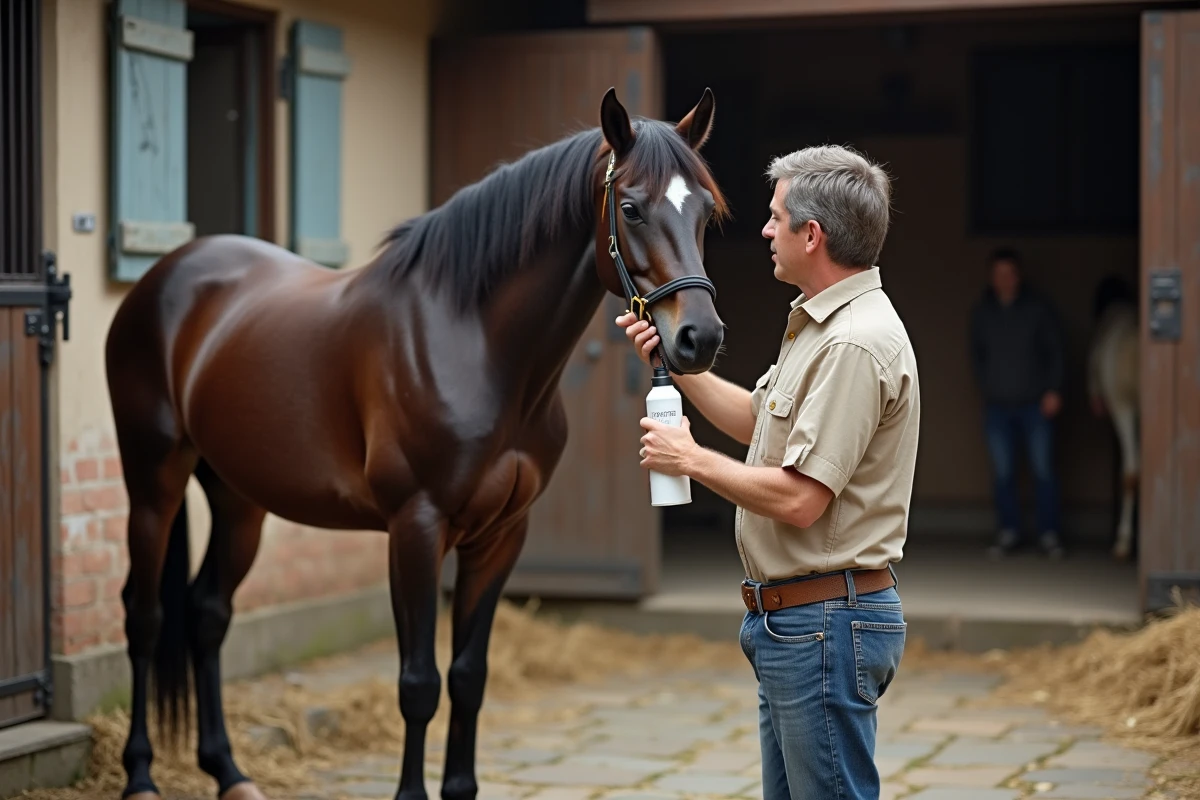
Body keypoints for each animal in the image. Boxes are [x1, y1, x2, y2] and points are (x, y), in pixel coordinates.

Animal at [103, 87, 727, 800]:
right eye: (630, 207)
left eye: (705, 211)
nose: (700, 339)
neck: (473, 342)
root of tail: (169, 275)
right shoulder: (415, 527)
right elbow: (419, 682)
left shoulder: (501, 535)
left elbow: (468, 675)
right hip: (153, 482)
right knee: (145, 616)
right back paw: (141, 775)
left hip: (239, 498)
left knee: (206, 614)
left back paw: (230, 772)